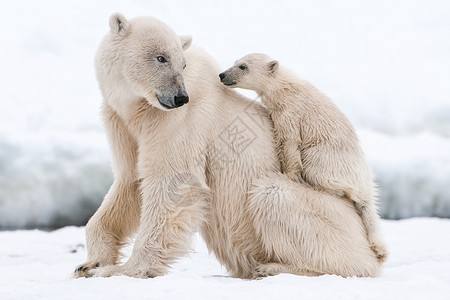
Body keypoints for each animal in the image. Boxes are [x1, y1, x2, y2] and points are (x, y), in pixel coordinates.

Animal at [75, 11, 382, 278]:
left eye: (182, 63)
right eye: (160, 57)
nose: (179, 97)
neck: (139, 108)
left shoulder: (179, 123)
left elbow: (172, 184)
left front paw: (120, 270)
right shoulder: (123, 124)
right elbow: (129, 182)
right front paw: (90, 263)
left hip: (327, 214)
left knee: (274, 195)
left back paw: (273, 267)